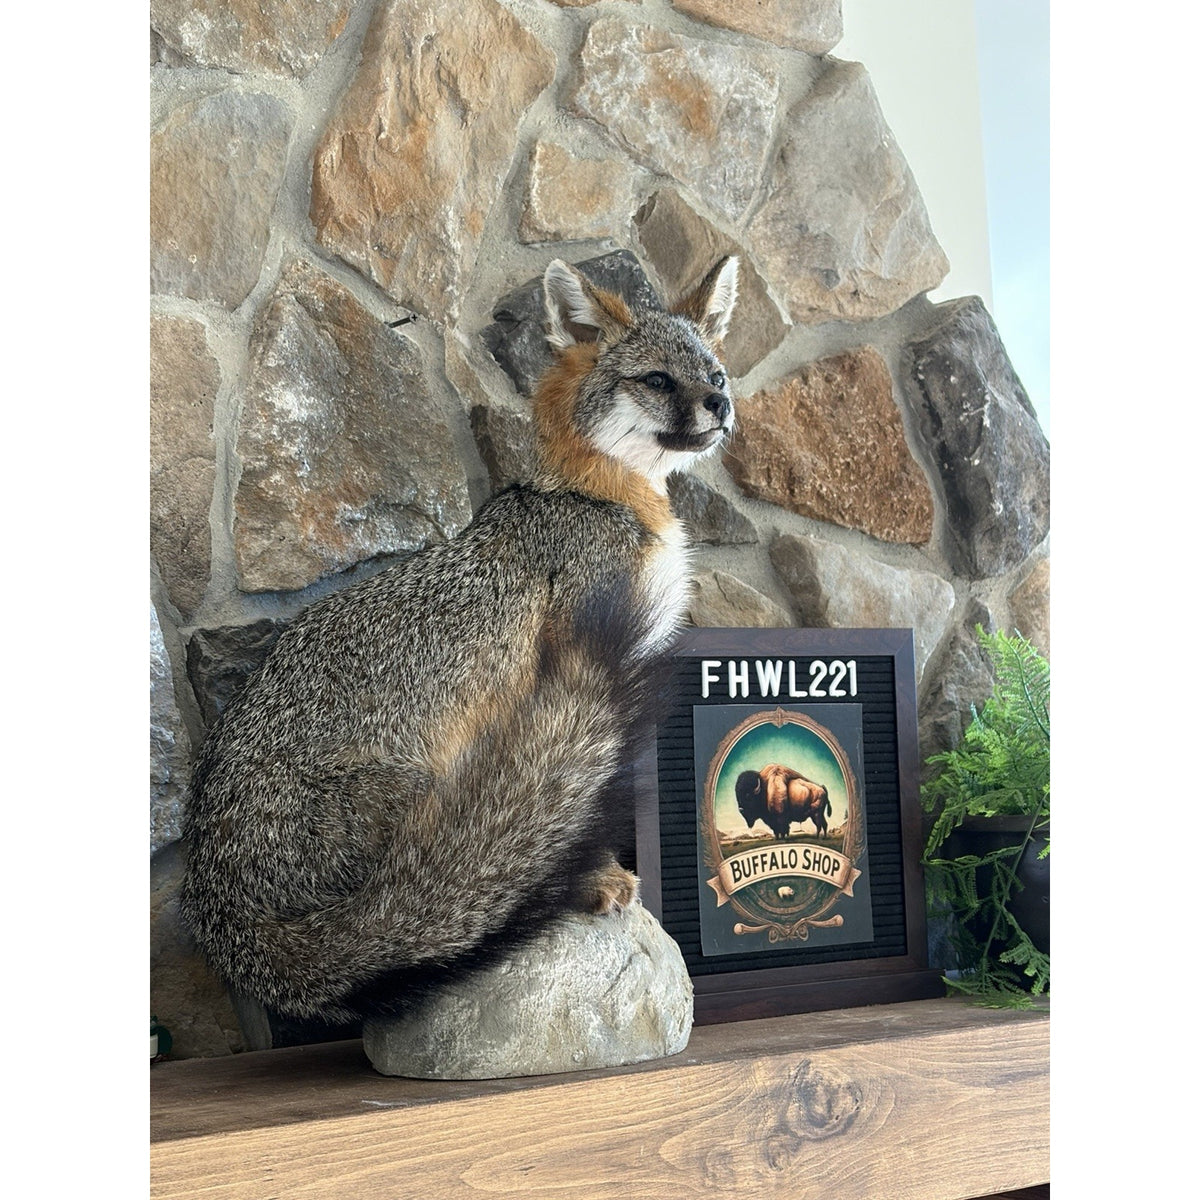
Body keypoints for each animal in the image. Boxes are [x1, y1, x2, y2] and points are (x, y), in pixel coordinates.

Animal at [181, 254, 740, 1023]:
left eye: (714, 374)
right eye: (658, 380)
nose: (721, 405)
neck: (603, 497)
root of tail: (230, 927)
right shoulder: (581, 675)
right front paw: (597, 876)